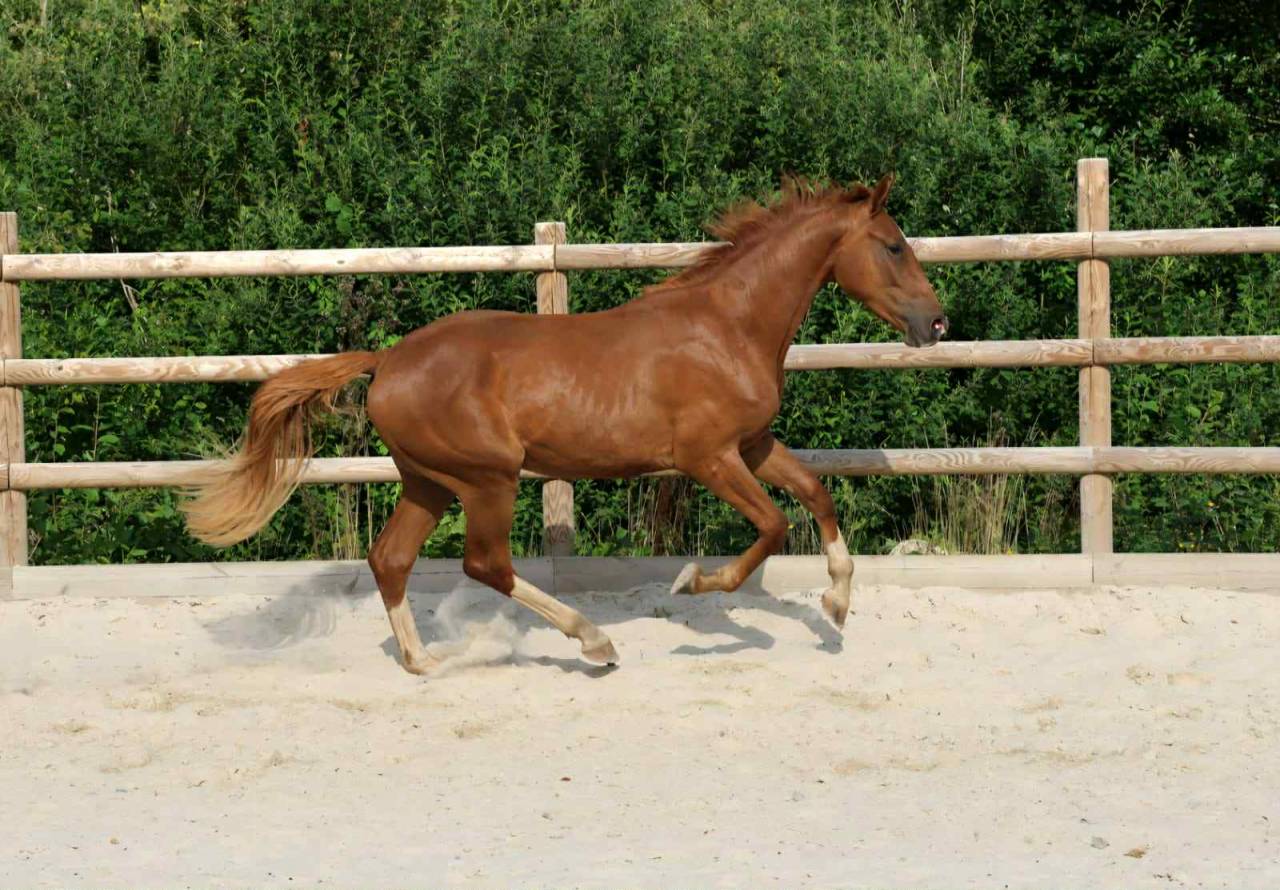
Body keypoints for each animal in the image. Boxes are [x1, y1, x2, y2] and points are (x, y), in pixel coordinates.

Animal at [182, 175, 947, 674]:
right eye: (893, 246)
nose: (935, 323)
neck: (727, 327)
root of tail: (389, 358)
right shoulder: (708, 457)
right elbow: (773, 526)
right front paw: (691, 584)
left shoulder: (753, 445)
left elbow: (816, 493)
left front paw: (837, 603)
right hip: (485, 478)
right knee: (484, 563)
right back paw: (594, 642)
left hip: (428, 481)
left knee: (391, 558)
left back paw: (425, 660)